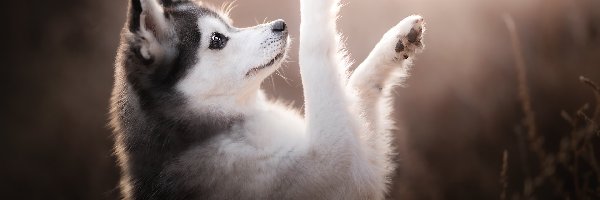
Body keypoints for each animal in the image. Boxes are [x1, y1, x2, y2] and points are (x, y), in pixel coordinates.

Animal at [110, 0, 424, 198]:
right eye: (217, 40)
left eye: (230, 25)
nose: (280, 25)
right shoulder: (336, 167)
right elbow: (315, 52)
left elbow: (360, 86)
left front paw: (397, 43)